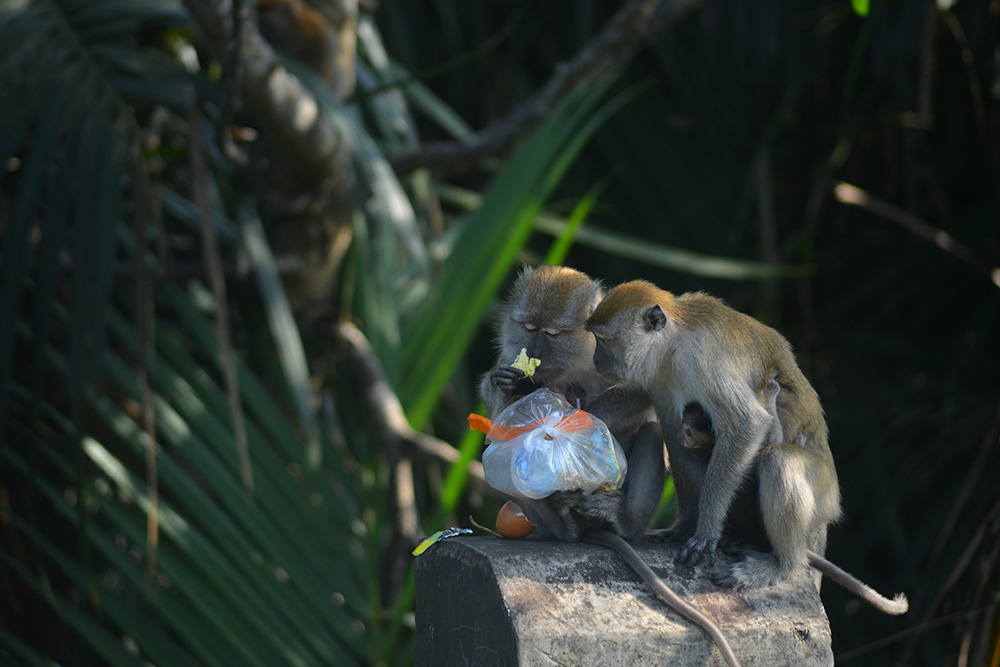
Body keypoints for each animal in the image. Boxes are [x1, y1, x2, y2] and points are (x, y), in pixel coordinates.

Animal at [480, 268, 740, 667]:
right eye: (528, 327)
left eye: (552, 333)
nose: (535, 354)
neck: (575, 361)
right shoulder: (514, 352)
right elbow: (501, 423)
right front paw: (505, 384)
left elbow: (637, 393)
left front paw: (574, 415)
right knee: (504, 460)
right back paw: (565, 527)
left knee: (651, 432)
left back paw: (626, 521)